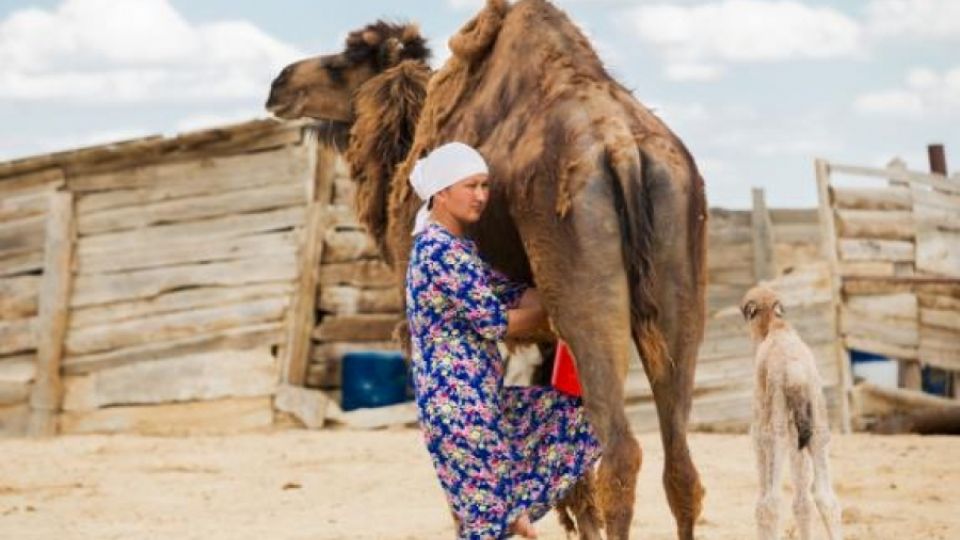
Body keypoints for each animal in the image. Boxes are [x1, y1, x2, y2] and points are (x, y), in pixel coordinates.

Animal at [266, 2, 708, 536]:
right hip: (680, 251)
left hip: (585, 282)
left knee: (621, 452)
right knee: (680, 462)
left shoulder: (416, 317)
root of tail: (621, 145)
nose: (279, 84)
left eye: (343, 61)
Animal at [740, 286, 844, 540]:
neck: (776, 328)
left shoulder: (760, 434)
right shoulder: (799, 436)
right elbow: (802, 503)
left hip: (776, 432)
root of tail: (795, 374)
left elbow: (763, 502)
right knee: (825, 498)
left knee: (771, 502)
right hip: (817, 431)